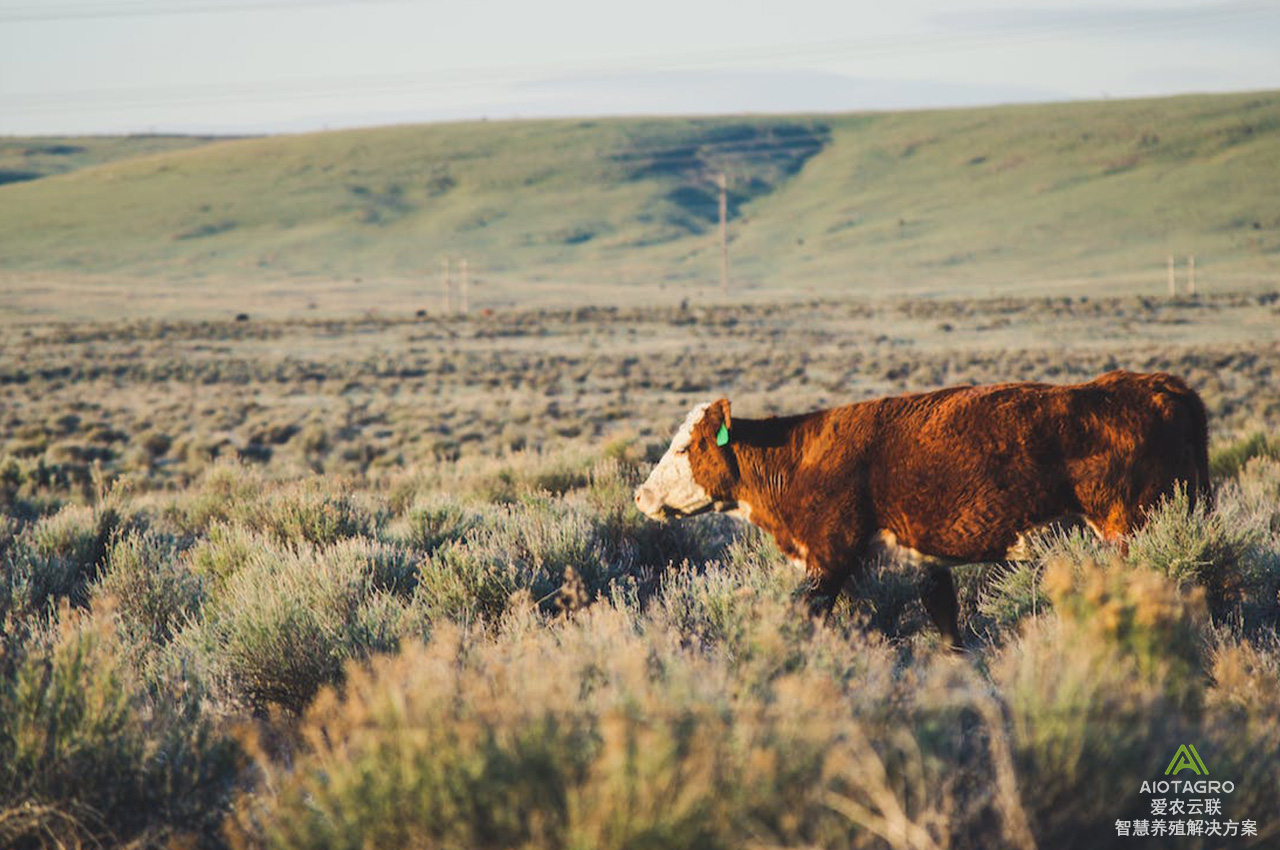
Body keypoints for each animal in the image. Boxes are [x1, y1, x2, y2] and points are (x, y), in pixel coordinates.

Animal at [634, 368, 1213, 647]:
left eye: (686, 448)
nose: (640, 495)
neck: (797, 456)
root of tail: (1161, 387)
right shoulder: (922, 558)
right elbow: (944, 619)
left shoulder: (829, 555)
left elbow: (806, 613)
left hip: (1129, 527)